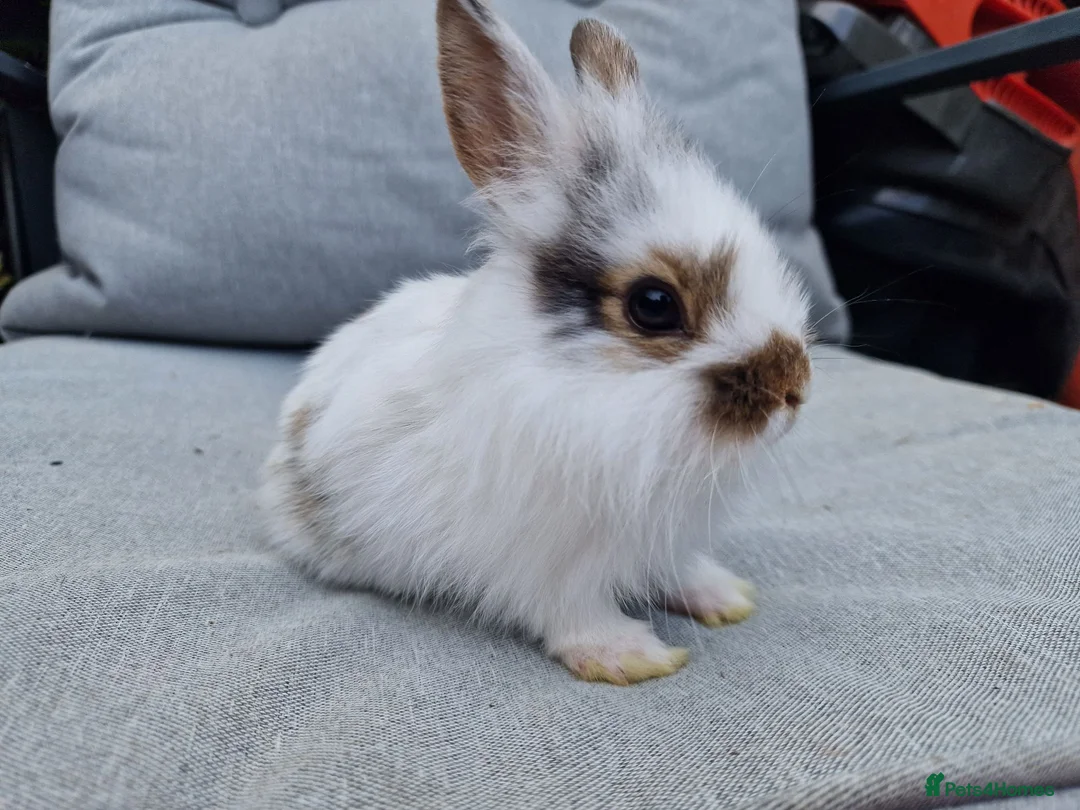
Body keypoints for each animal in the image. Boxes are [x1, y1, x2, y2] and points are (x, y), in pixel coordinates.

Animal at [258, 0, 812, 686]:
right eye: (654, 305)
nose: (794, 388)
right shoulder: (549, 564)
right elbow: (573, 610)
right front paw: (629, 657)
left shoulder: (665, 538)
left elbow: (678, 569)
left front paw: (723, 597)